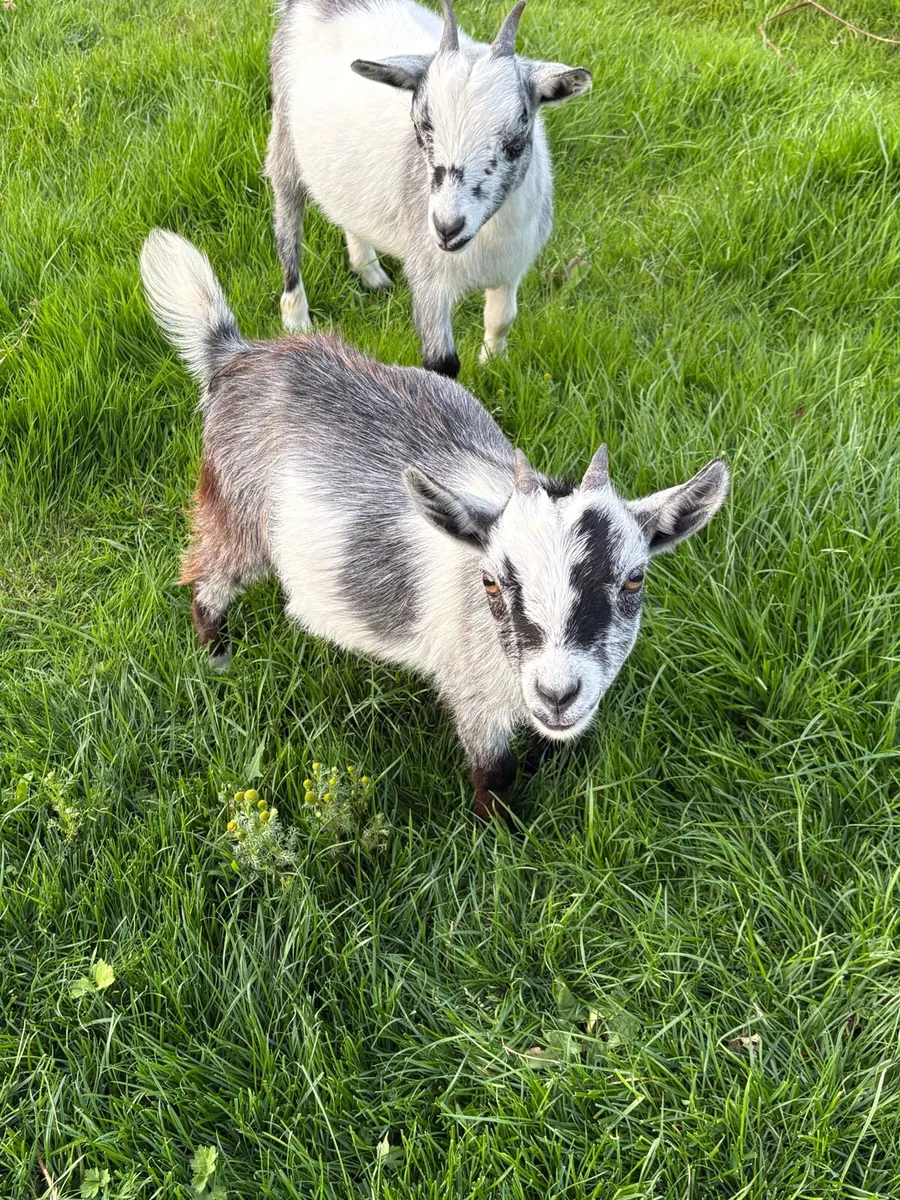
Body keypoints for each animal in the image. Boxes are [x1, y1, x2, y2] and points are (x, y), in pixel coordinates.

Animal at [140, 230, 731, 819]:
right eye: (491, 581)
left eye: (634, 578)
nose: (556, 693)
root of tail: (234, 355)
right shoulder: (472, 693)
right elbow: (495, 772)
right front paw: (501, 833)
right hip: (236, 511)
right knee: (208, 578)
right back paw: (218, 657)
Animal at [265, 0, 592, 377]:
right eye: (421, 129)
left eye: (514, 142)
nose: (447, 227)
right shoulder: (428, 274)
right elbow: (441, 362)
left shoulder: (512, 266)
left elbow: (501, 319)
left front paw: (492, 363)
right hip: (284, 145)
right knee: (288, 230)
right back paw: (296, 318)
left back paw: (370, 273)